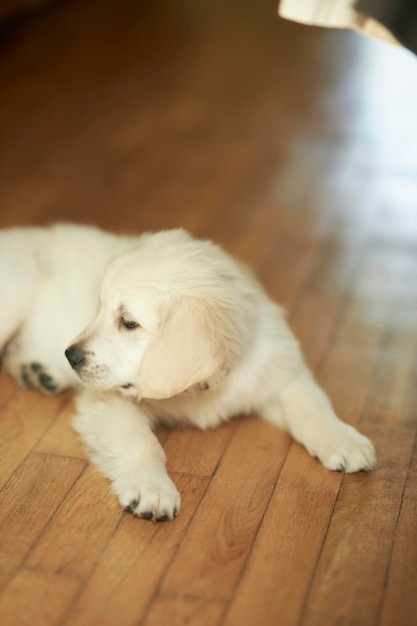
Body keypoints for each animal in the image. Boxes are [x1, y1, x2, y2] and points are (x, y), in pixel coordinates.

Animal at [0, 222, 376, 520]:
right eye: (99, 307)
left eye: (128, 322)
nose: (70, 355)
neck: (198, 388)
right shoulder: (107, 403)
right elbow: (141, 442)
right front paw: (152, 486)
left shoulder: (276, 370)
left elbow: (311, 404)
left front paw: (343, 439)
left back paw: (36, 371)